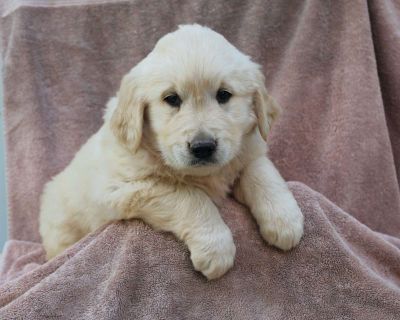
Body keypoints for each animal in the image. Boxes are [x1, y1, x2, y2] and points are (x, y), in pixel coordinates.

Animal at [39, 25, 304, 278]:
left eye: (224, 95)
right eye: (172, 99)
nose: (203, 147)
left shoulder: (248, 150)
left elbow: (262, 173)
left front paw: (284, 219)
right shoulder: (120, 188)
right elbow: (189, 196)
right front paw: (215, 248)